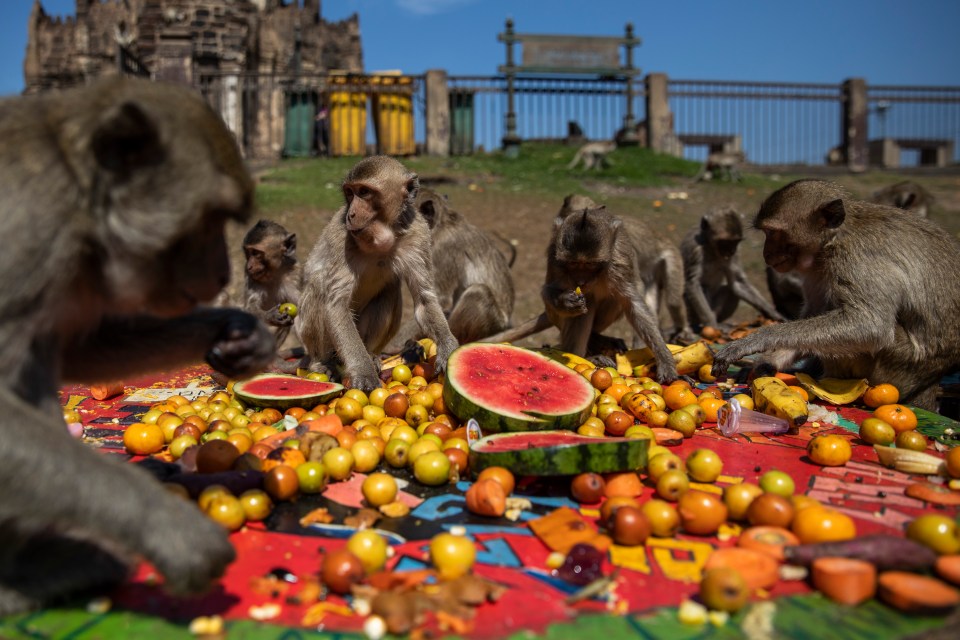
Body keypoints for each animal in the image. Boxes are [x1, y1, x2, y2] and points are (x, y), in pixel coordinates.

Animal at [0, 76, 278, 616]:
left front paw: (238, 330)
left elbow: (84, 345)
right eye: (210, 218)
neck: (80, 200)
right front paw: (174, 532)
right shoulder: (28, 234)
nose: (223, 273)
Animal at [298, 158, 460, 392]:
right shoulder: (341, 237)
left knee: (390, 289)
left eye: (364, 192)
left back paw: (372, 355)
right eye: (350, 193)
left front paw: (448, 347)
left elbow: (424, 299)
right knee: (319, 285)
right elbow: (337, 305)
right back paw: (323, 362)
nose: (351, 214)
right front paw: (363, 371)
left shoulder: (418, 233)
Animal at [708, 179, 960, 410]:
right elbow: (815, 311)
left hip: (898, 368)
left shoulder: (856, 257)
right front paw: (769, 361)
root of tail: (930, 383)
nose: (766, 253)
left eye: (772, 232)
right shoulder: (816, 267)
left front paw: (758, 339)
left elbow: (870, 325)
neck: (835, 238)